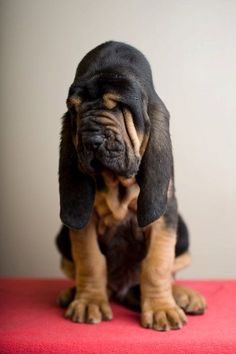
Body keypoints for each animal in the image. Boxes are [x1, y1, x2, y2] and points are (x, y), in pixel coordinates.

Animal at [56, 41, 206, 332]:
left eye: (119, 106)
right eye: (75, 109)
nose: (91, 140)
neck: (117, 182)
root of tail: (122, 289)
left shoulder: (164, 216)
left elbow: (157, 264)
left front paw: (161, 309)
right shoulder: (85, 224)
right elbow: (90, 260)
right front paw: (89, 301)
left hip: (182, 236)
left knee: (169, 271)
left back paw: (183, 296)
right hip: (62, 237)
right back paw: (74, 293)